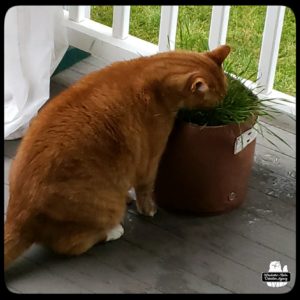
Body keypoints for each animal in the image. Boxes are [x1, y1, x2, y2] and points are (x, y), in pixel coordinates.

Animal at [4, 45, 230, 270]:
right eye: (218, 97)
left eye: (224, 93)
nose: (224, 104)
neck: (149, 69)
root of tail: (18, 212)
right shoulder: (150, 160)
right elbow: (145, 189)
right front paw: (148, 209)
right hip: (106, 206)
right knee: (70, 245)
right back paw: (113, 231)